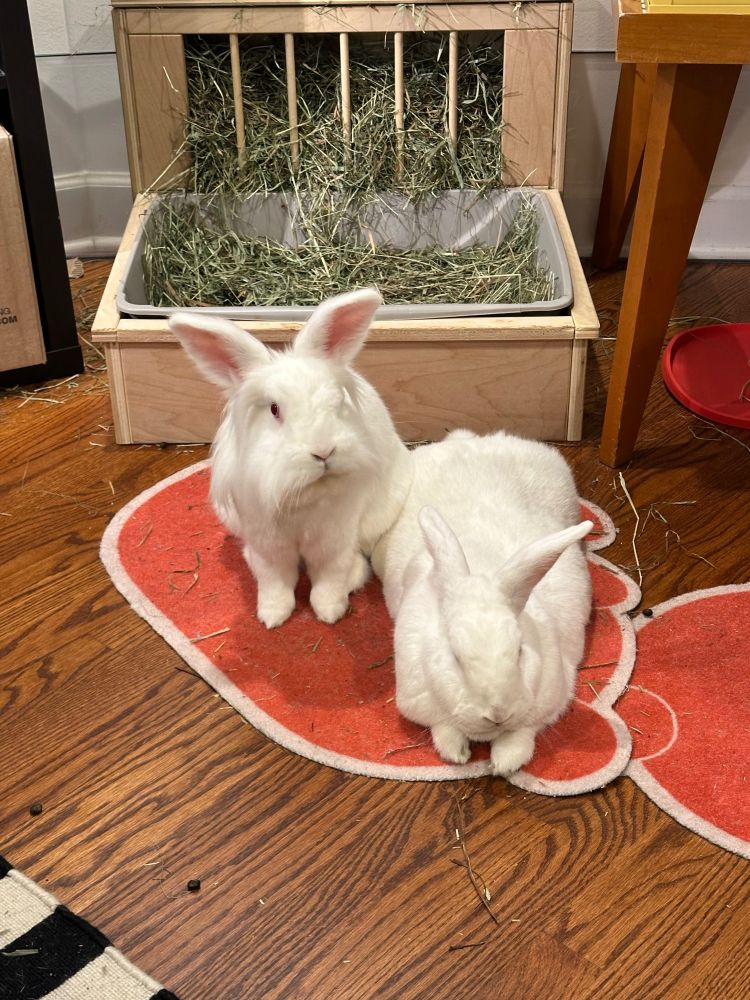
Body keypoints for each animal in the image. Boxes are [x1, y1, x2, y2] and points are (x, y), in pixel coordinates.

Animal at [170, 288, 412, 629]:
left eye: (336, 401)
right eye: (274, 409)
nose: (323, 452)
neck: (305, 496)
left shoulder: (334, 540)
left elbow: (330, 577)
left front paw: (330, 612)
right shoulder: (268, 544)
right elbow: (275, 580)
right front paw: (273, 616)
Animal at [371, 429, 593, 775]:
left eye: (519, 651)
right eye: (455, 657)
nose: (497, 713)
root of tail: (473, 439)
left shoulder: (552, 698)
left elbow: (522, 736)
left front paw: (503, 762)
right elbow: (443, 729)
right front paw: (458, 753)